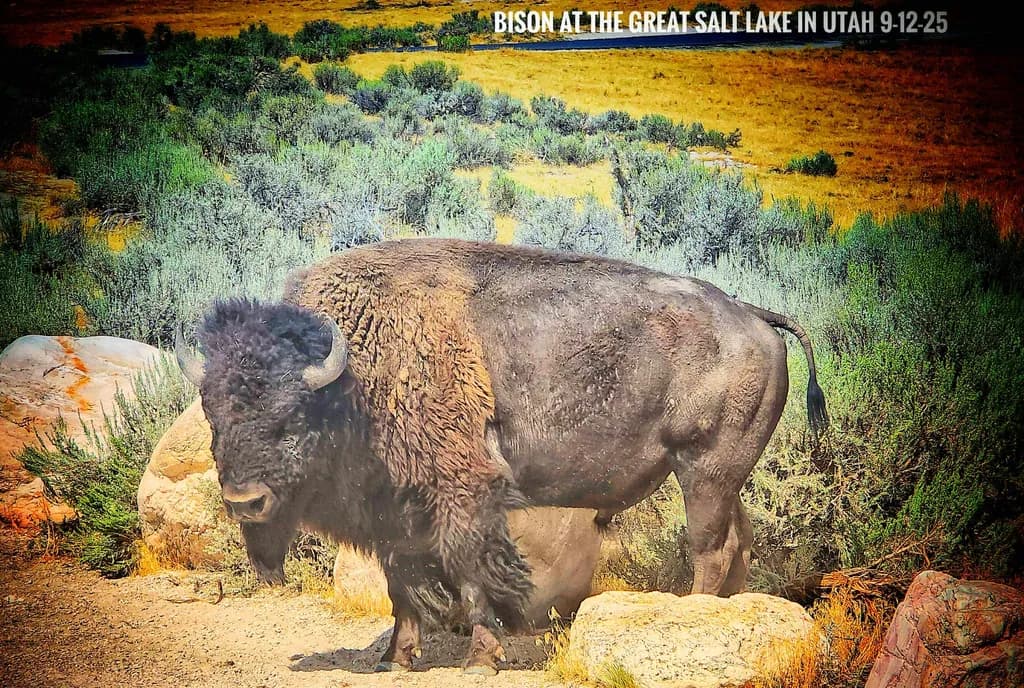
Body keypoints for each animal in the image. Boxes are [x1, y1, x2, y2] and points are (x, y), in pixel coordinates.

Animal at [175, 238, 827, 675]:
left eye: (290, 417)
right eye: (212, 415)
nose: (244, 502)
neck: (353, 376)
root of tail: (753, 315)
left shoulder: (463, 491)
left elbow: (469, 572)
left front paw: (479, 658)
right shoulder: (394, 513)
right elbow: (400, 583)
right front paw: (397, 658)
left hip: (704, 470)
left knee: (710, 547)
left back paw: (694, 613)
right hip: (724, 476)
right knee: (739, 540)